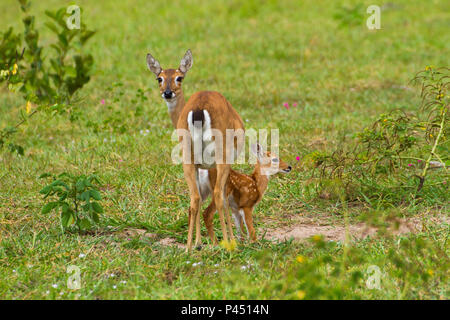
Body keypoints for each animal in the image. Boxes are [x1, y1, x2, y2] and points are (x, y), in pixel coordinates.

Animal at [147, 49, 244, 250]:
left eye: (179, 77)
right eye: (159, 78)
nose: (168, 93)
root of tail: (199, 111)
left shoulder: (200, 165)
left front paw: (199, 242)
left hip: (188, 159)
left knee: (194, 198)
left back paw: (188, 248)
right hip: (221, 155)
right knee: (218, 196)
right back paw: (229, 244)